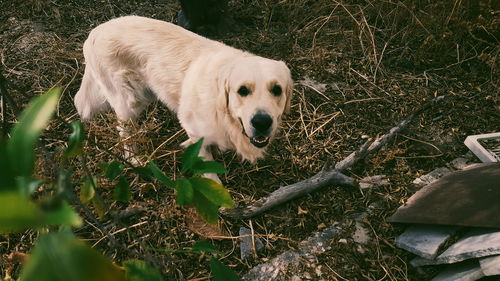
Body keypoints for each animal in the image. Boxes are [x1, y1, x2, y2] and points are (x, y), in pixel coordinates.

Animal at [74, 15, 292, 178]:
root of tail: (95, 32)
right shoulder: (194, 131)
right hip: (129, 101)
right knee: (124, 130)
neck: (225, 114)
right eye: (243, 90)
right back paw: (134, 159)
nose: (262, 122)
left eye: (277, 90)